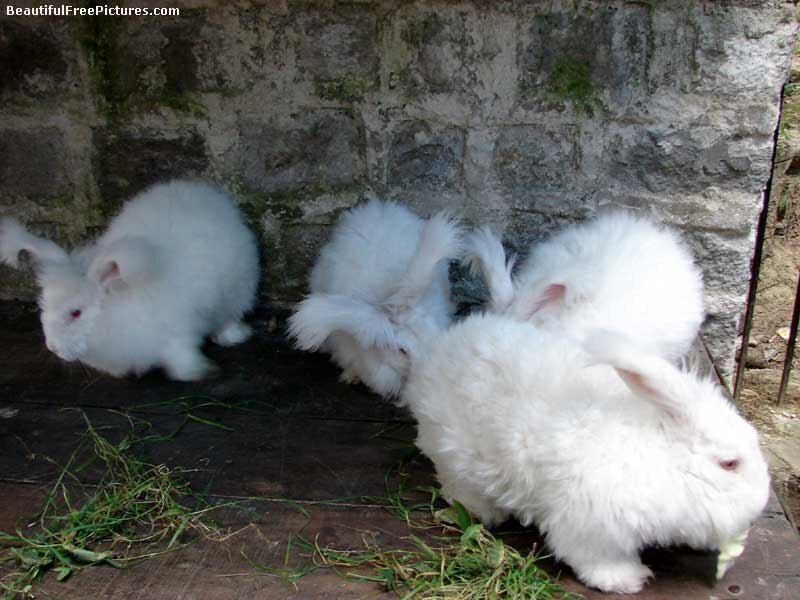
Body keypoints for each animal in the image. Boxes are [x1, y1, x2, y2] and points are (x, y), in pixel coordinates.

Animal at [0, 179, 260, 381]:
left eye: (76, 313)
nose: (52, 347)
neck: (116, 308)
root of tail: (206, 194)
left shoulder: (177, 333)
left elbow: (182, 356)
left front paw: (199, 372)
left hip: (236, 290)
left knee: (229, 316)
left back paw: (232, 336)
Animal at [403, 313, 770, 594]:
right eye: (729, 464)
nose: (761, 505)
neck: (659, 455)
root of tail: (440, 351)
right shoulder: (591, 524)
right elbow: (594, 559)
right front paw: (628, 580)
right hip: (455, 453)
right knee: (456, 483)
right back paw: (484, 512)